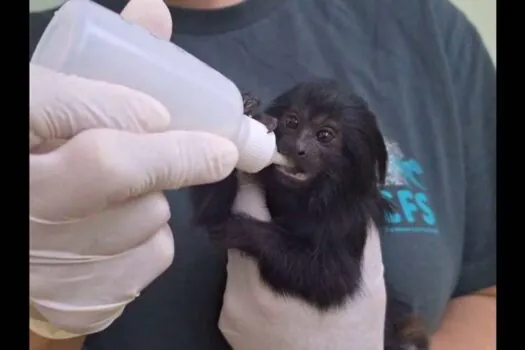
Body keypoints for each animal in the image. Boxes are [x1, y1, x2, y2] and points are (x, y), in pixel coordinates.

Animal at [190, 79, 428, 350]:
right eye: (292, 122)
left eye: (324, 136)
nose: (298, 147)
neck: (301, 198)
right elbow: (211, 212)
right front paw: (247, 109)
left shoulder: (348, 220)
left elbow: (331, 278)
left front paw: (242, 230)